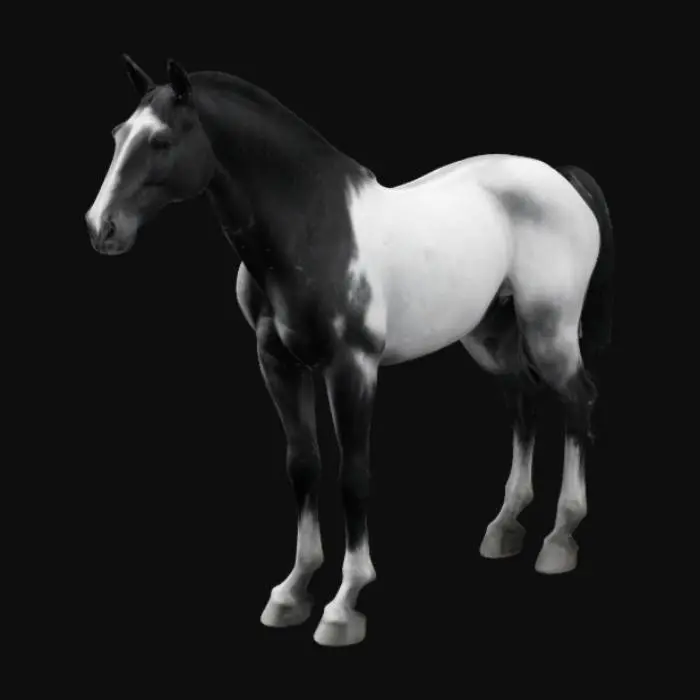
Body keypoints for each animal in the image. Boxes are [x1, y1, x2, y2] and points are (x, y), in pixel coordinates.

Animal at [85, 55, 614, 646]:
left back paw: (560, 538)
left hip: (551, 329)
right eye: (118, 134)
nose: (101, 227)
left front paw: (343, 604)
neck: (310, 230)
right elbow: (303, 466)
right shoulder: (278, 364)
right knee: (523, 405)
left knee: (578, 401)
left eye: (159, 140)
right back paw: (505, 526)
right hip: (491, 337)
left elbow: (353, 478)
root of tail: (560, 178)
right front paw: (292, 592)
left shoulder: (352, 368)